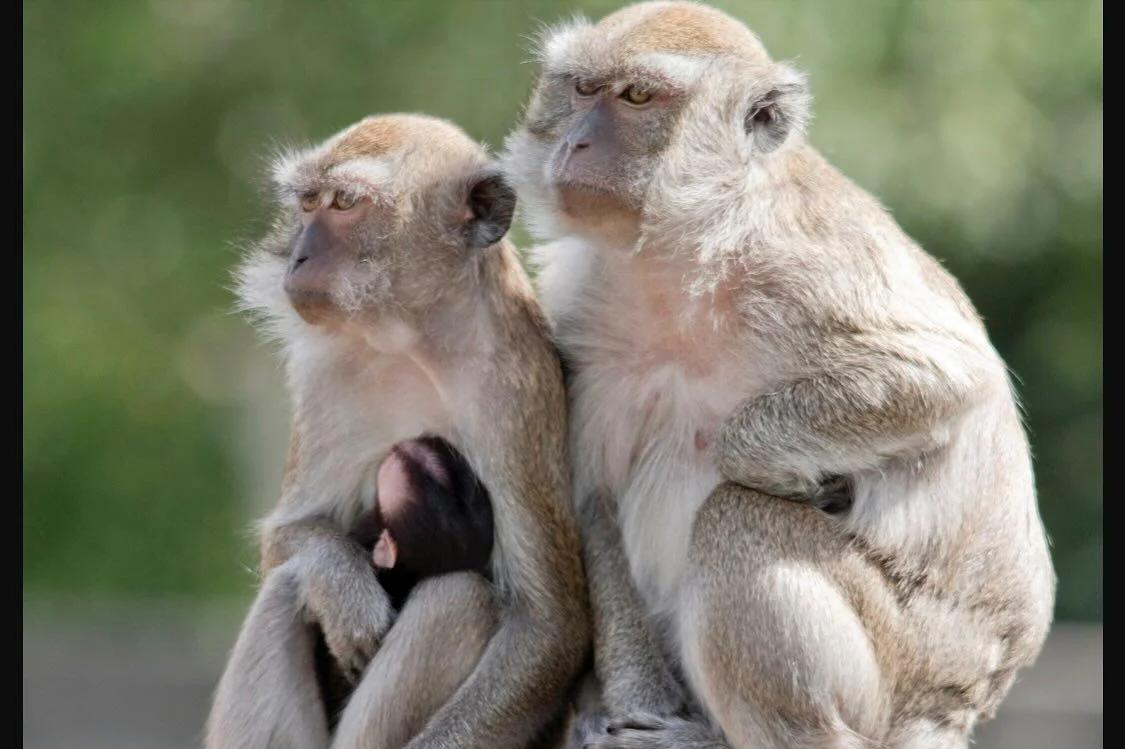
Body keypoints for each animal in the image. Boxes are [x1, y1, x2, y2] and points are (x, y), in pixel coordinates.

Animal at [205, 112, 589, 746]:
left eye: (344, 203)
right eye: (307, 203)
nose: (297, 257)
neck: (414, 340)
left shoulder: (514, 390)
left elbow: (548, 625)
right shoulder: (327, 376)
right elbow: (285, 540)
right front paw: (344, 589)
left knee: (458, 599)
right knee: (285, 588)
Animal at [506, 2, 1057, 742]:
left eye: (637, 98)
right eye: (581, 90)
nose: (577, 144)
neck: (681, 258)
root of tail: (962, 697)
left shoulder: (803, 266)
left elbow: (945, 378)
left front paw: (777, 466)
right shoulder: (583, 313)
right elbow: (594, 496)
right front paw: (636, 699)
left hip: (901, 661)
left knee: (735, 517)